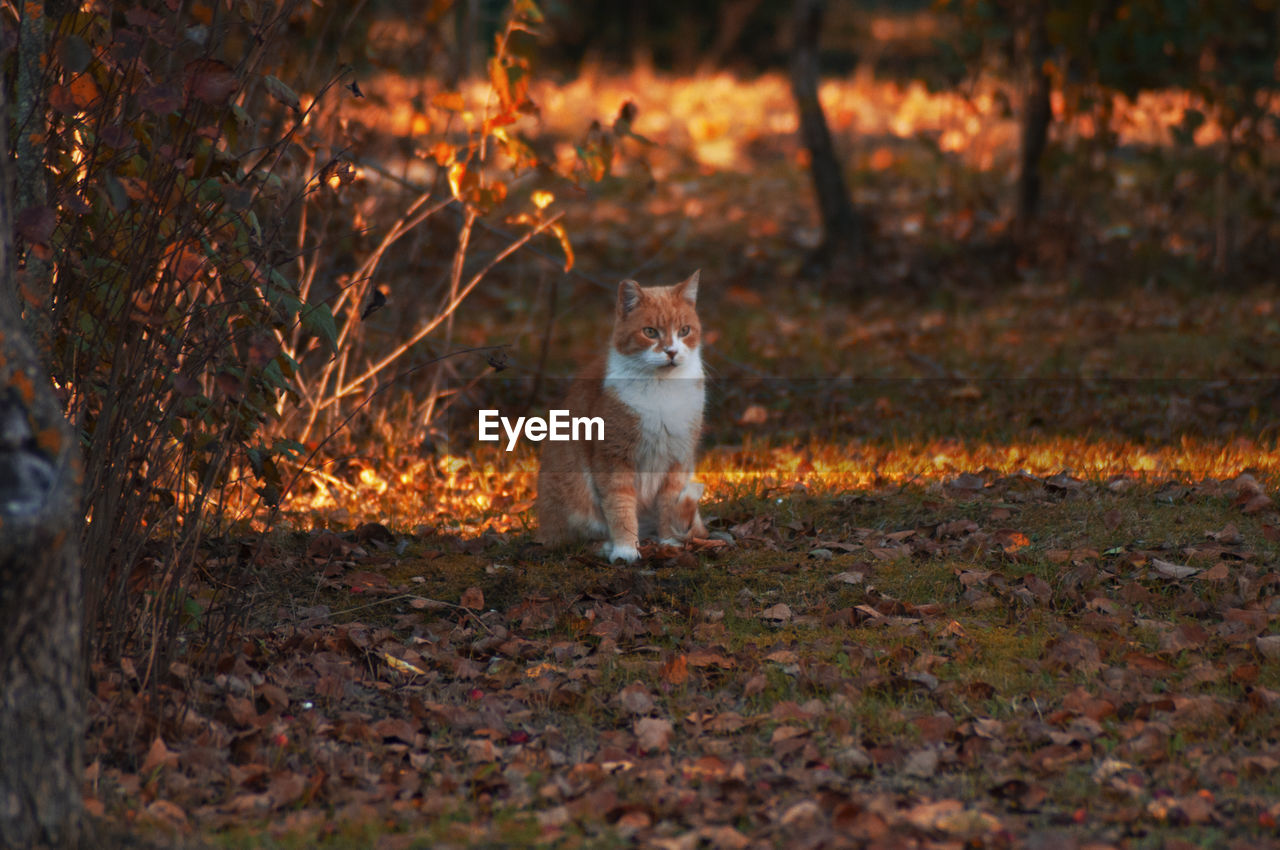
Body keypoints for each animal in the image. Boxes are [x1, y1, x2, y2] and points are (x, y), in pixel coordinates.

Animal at [535, 272, 706, 563]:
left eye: (684, 330)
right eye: (650, 332)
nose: (672, 351)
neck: (662, 388)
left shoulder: (677, 458)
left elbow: (668, 504)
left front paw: (669, 543)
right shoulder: (614, 458)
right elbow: (620, 506)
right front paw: (625, 550)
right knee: (569, 540)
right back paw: (606, 546)